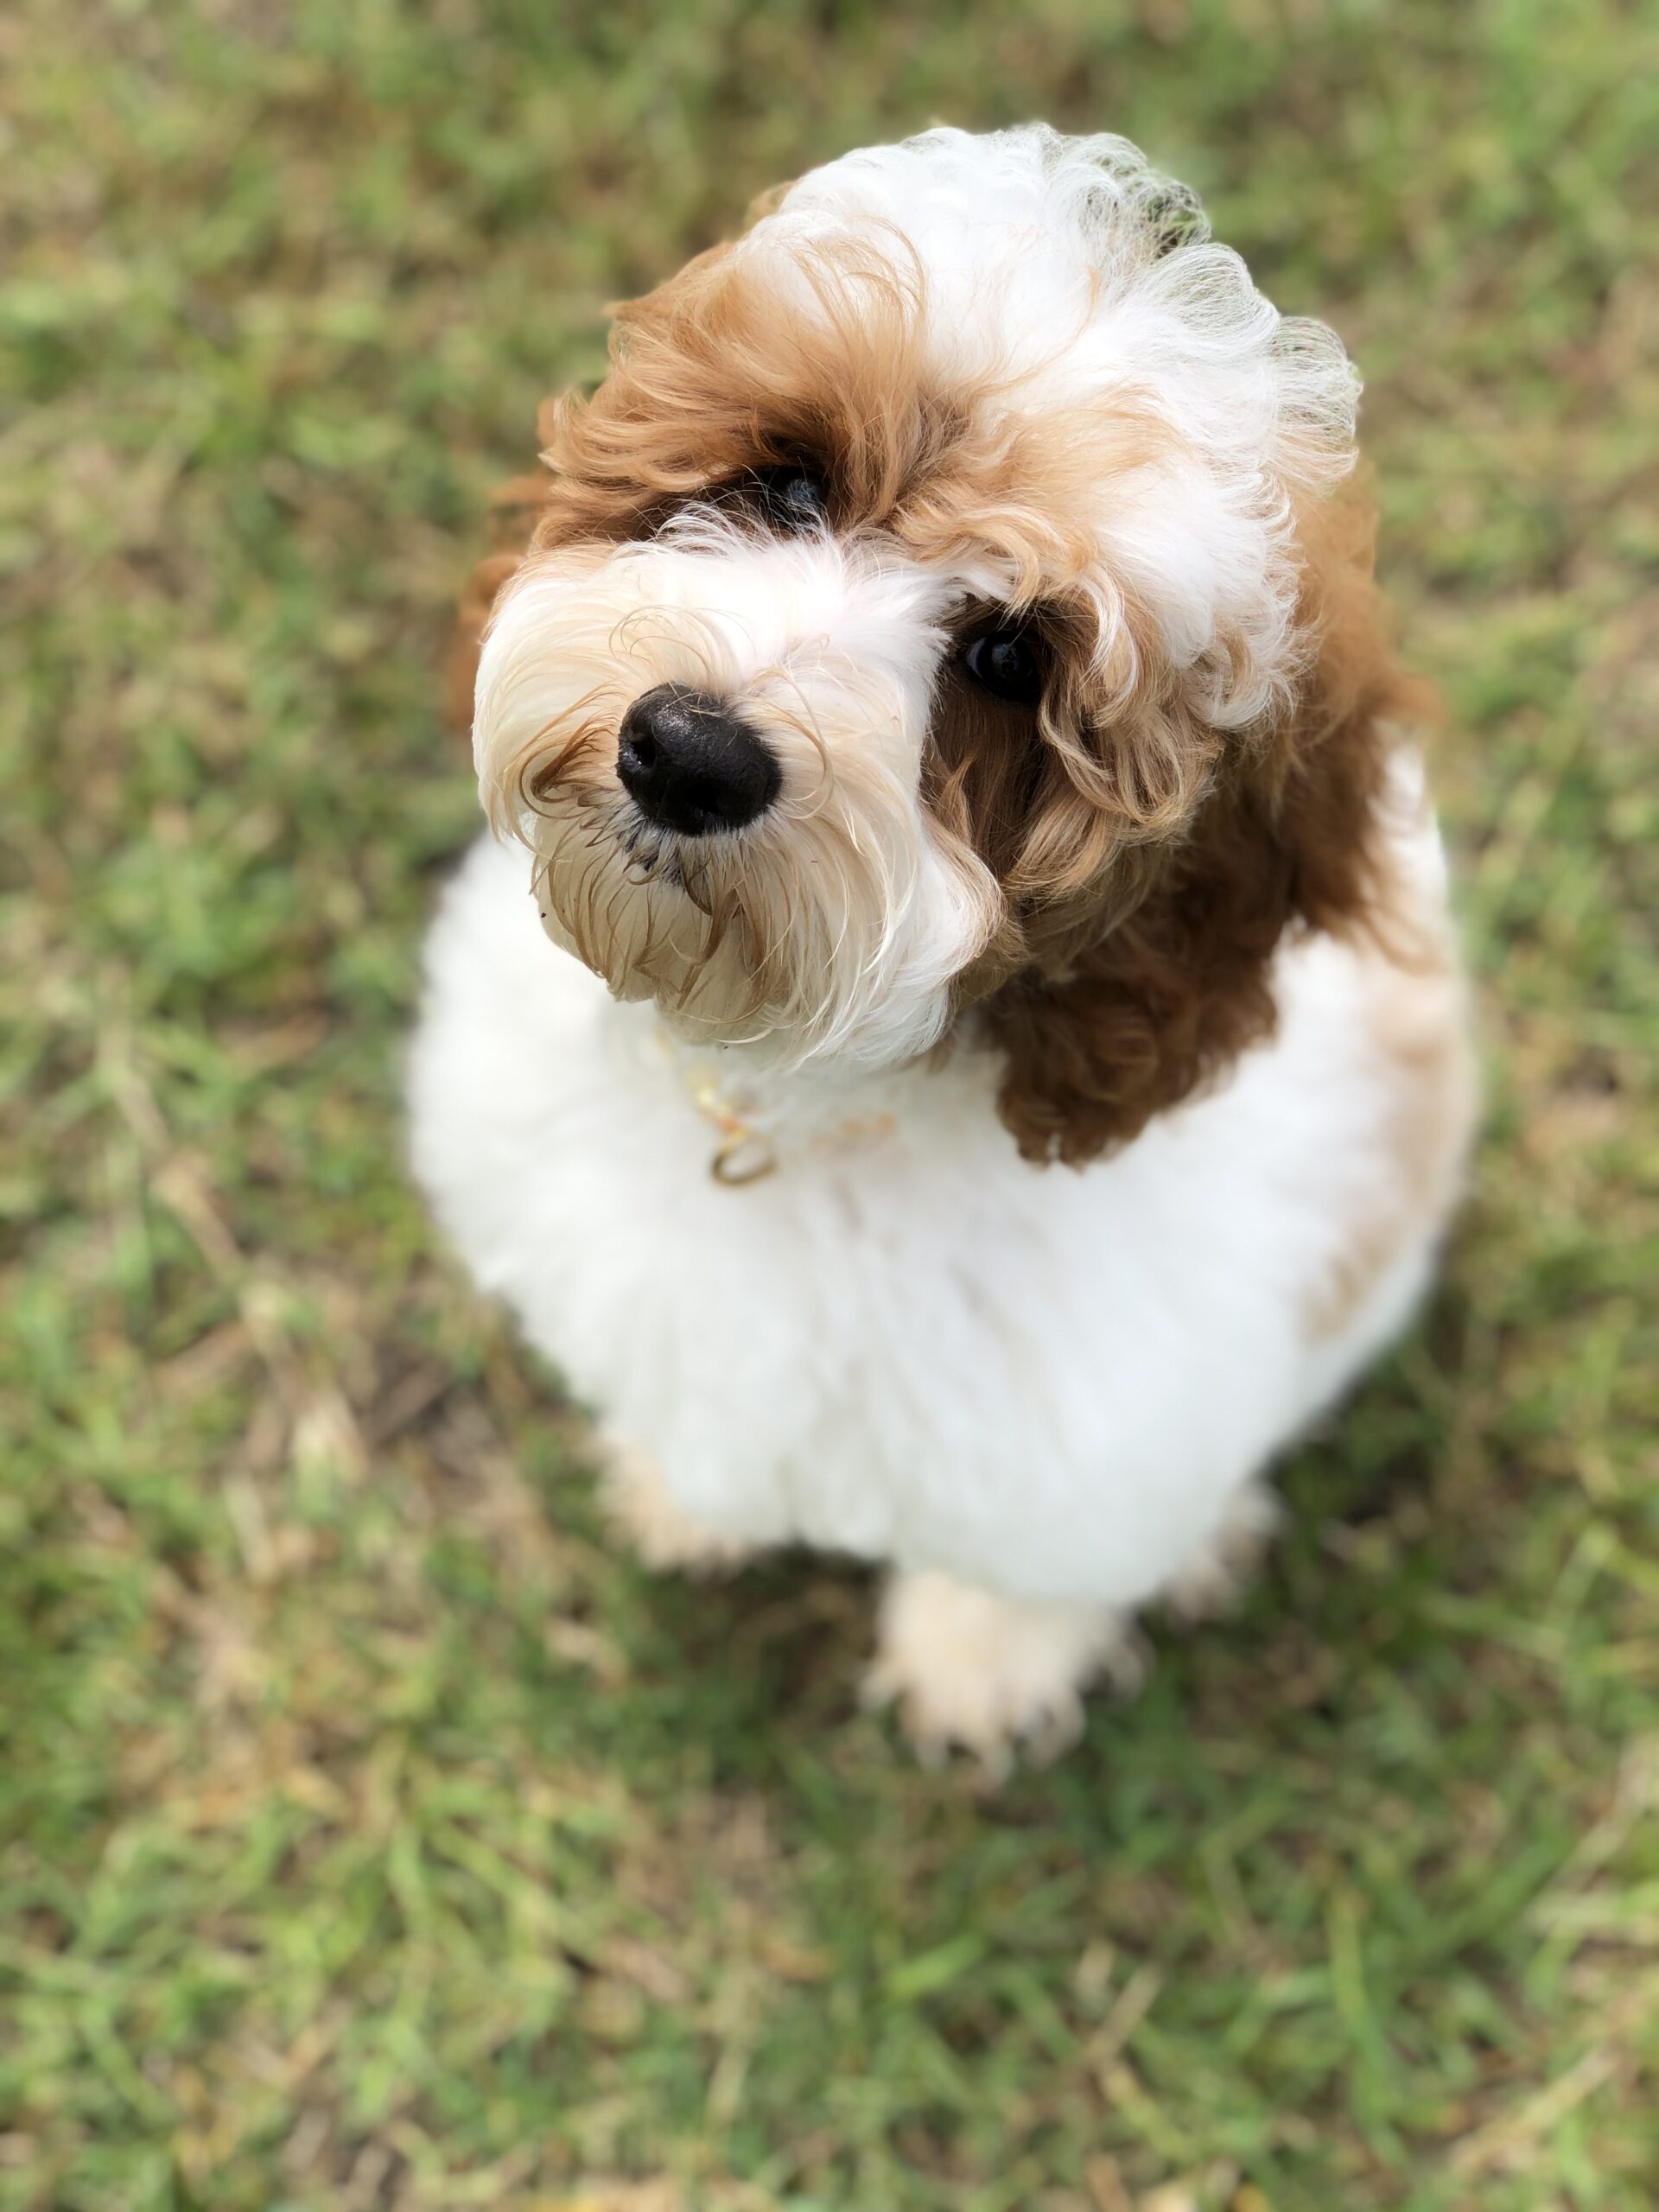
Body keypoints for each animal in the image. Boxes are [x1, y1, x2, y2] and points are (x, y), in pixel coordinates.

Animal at [409, 125, 1478, 1778]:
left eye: (1007, 656)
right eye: (788, 482)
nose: (689, 753)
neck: (799, 1105)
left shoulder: (1094, 1425)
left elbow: (1029, 1555)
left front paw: (983, 1661)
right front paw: (684, 1495)